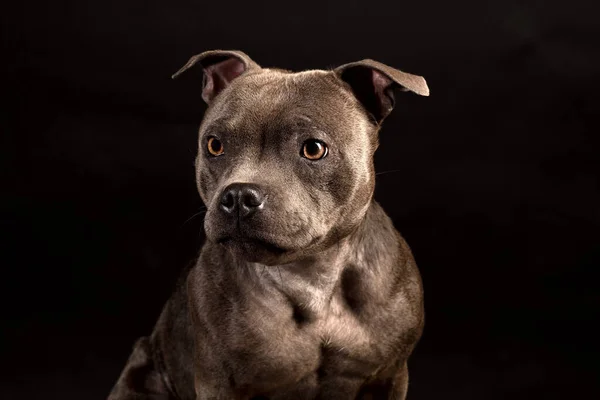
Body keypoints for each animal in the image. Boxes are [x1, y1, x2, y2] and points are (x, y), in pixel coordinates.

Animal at [106, 50, 426, 400]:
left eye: (313, 148)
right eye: (214, 145)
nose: (238, 196)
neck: (312, 281)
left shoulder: (391, 376)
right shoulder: (218, 383)